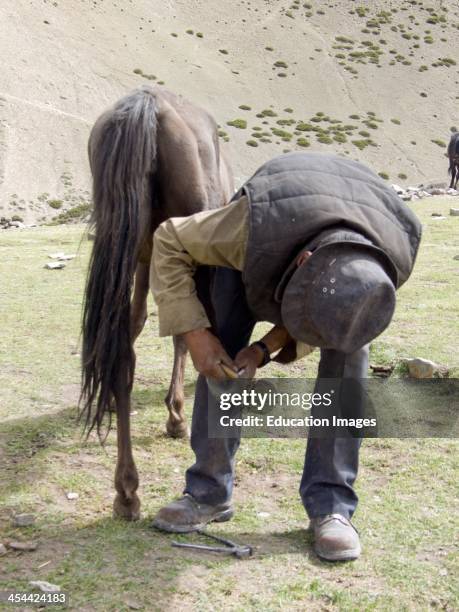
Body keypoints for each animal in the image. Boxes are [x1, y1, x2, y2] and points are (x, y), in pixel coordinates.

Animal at [78, 83, 234, 520]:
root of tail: (146, 106)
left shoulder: (148, 257)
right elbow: (189, 333)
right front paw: (177, 415)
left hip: (124, 242)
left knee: (120, 350)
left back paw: (126, 492)